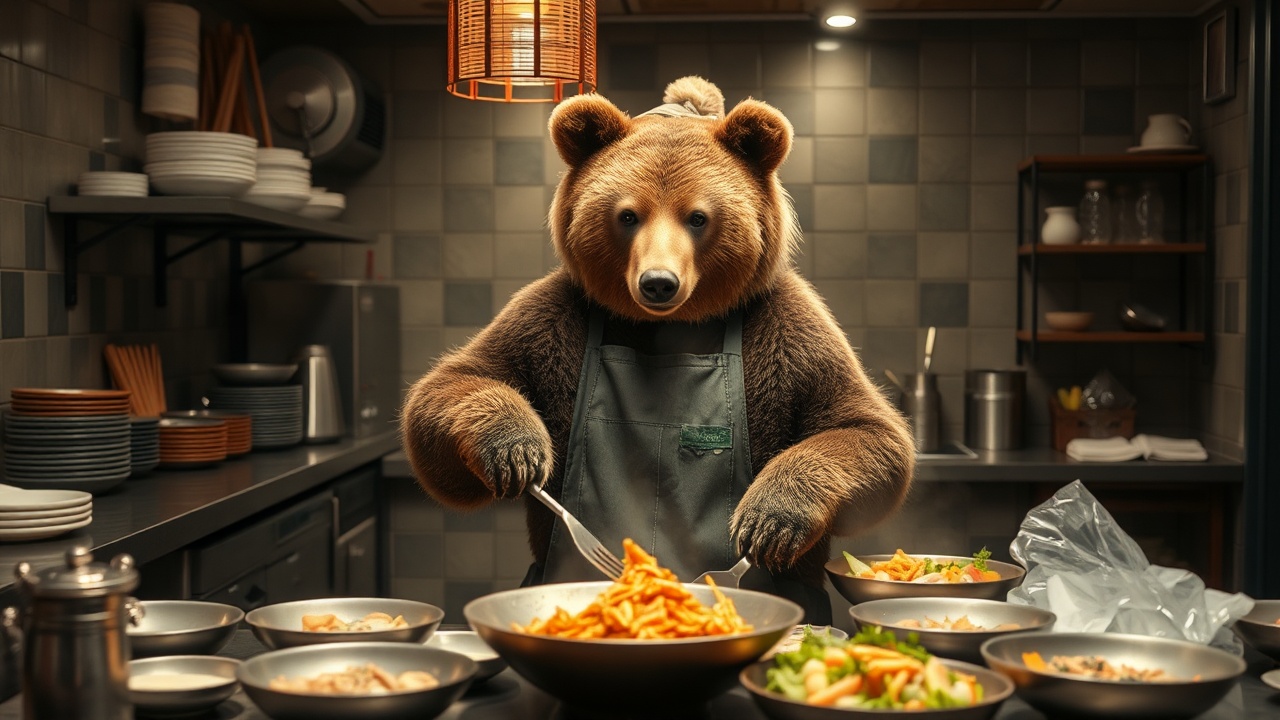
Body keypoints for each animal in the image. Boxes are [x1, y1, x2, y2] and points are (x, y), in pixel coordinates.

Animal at [401, 76, 915, 621]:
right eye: (628, 214)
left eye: (698, 216)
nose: (659, 282)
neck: (672, 328)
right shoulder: (548, 322)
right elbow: (456, 386)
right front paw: (514, 449)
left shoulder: (790, 332)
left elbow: (864, 428)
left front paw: (770, 518)